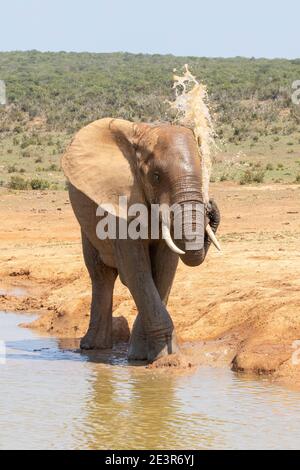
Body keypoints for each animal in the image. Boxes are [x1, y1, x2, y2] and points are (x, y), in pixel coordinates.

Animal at [61, 118, 220, 364]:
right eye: (155, 176)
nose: (211, 206)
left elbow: (164, 268)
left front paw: (143, 356)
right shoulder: (121, 203)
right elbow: (136, 268)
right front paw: (165, 359)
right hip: (86, 226)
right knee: (101, 274)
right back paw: (92, 348)